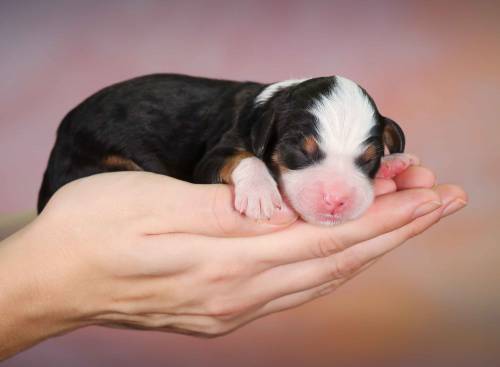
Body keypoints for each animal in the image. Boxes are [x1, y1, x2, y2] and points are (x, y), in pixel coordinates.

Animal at [37, 73, 416, 224]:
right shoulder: (213, 156)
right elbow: (243, 157)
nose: (336, 201)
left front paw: (396, 162)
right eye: (301, 152)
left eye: (369, 161)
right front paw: (261, 193)